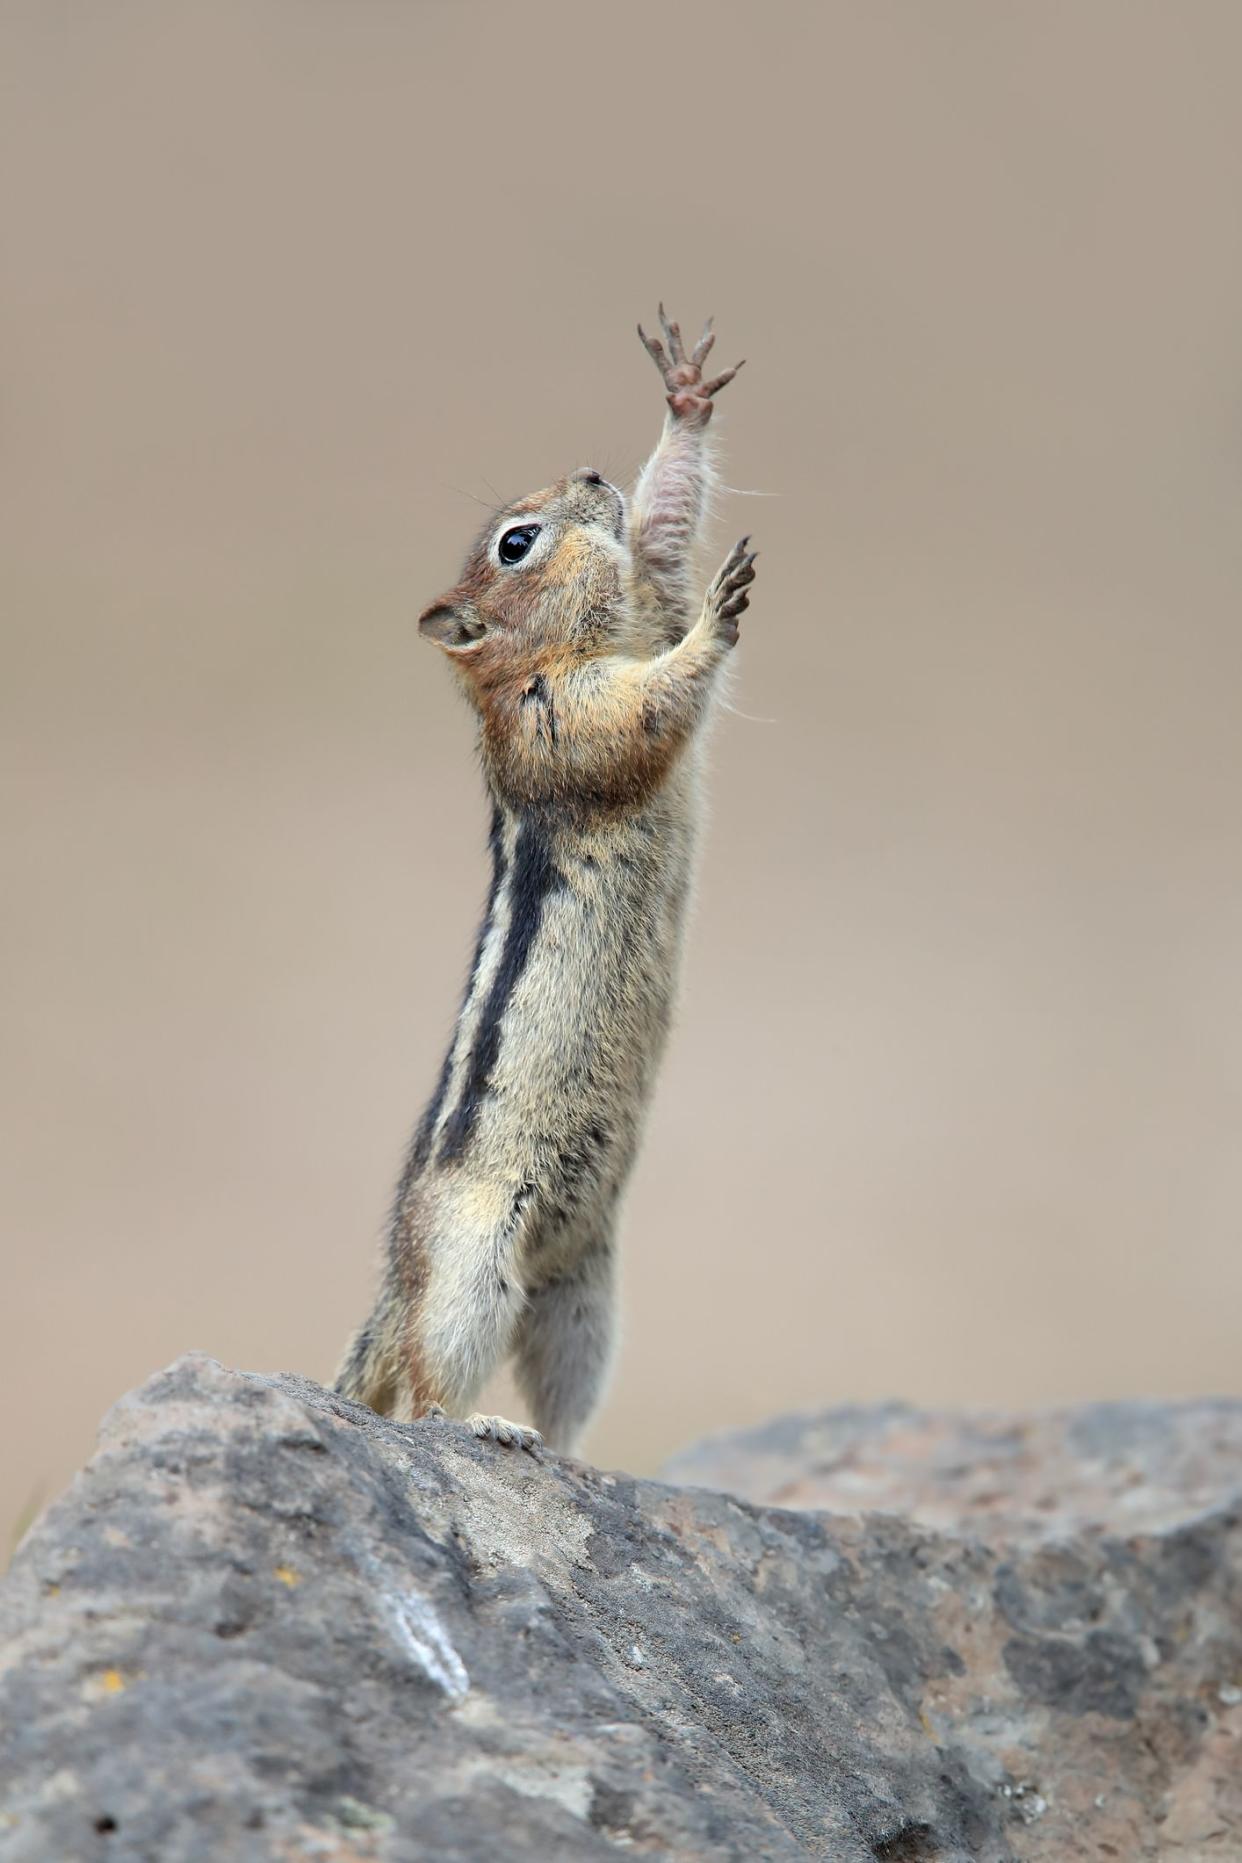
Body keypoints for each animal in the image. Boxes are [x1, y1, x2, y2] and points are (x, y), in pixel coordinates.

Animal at [335, 309, 752, 1453]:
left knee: (564, 1385)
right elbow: (646, 710)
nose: (593, 472)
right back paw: (485, 1428)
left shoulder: (643, 602)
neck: (567, 649)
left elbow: (661, 542)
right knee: (426, 1383)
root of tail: (395, 1282)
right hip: (472, 1266)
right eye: (515, 544)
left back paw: (578, 1454)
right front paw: (720, 620)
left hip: (585, 1297)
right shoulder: (559, 722)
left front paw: (684, 402)